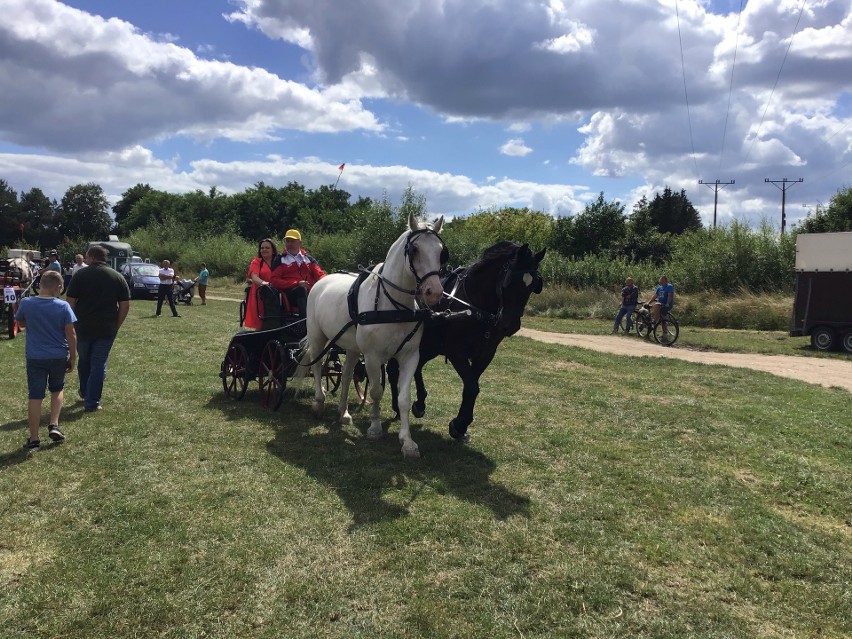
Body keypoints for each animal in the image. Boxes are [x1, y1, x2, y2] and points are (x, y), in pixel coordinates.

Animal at [296, 212, 446, 458]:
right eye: (414, 250)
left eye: (441, 251)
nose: (433, 292)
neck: (393, 306)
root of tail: (321, 281)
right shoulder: (373, 357)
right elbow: (376, 391)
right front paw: (375, 428)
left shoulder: (409, 357)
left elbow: (404, 399)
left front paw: (407, 441)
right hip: (319, 338)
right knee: (317, 367)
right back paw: (319, 402)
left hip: (351, 348)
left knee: (346, 375)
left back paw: (344, 413)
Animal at [388, 242, 544, 442]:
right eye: (510, 281)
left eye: (533, 285)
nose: (509, 325)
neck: (476, 308)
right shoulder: (456, 351)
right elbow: (471, 386)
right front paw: (459, 424)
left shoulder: (486, 353)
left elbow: (472, 386)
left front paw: (460, 425)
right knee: (393, 371)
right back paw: (397, 406)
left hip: (429, 346)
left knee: (418, 367)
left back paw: (420, 403)